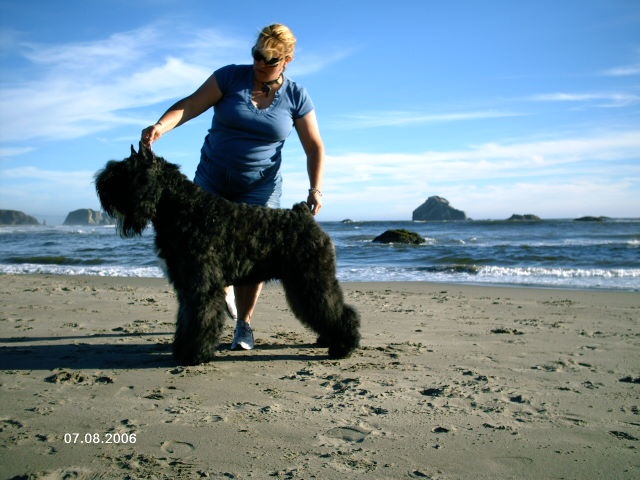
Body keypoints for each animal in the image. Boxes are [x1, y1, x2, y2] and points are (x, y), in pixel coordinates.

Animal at [97, 144, 362, 366]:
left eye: (127, 171)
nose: (101, 184)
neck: (184, 209)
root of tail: (304, 213)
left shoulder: (201, 286)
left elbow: (199, 319)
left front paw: (193, 355)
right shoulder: (188, 285)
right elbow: (186, 319)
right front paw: (182, 350)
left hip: (312, 280)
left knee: (336, 309)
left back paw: (343, 346)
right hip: (301, 283)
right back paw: (327, 340)